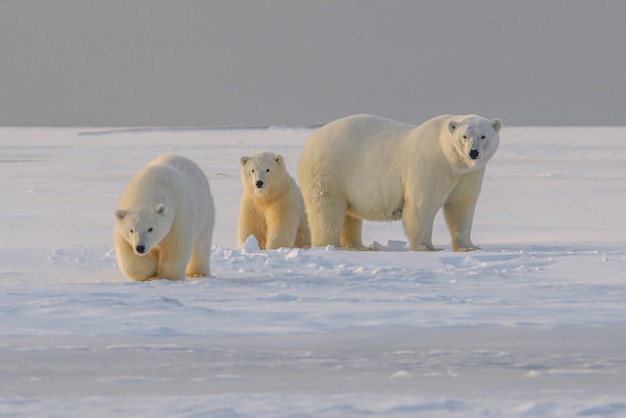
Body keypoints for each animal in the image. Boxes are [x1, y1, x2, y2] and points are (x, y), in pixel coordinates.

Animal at [298, 113, 502, 251]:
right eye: (464, 136)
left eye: (483, 136)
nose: (473, 153)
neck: (450, 160)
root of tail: (311, 139)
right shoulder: (429, 166)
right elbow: (422, 204)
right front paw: (426, 247)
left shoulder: (468, 175)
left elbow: (461, 206)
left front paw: (469, 246)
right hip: (331, 169)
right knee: (327, 208)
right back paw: (330, 245)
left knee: (350, 215)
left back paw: (359, 246)